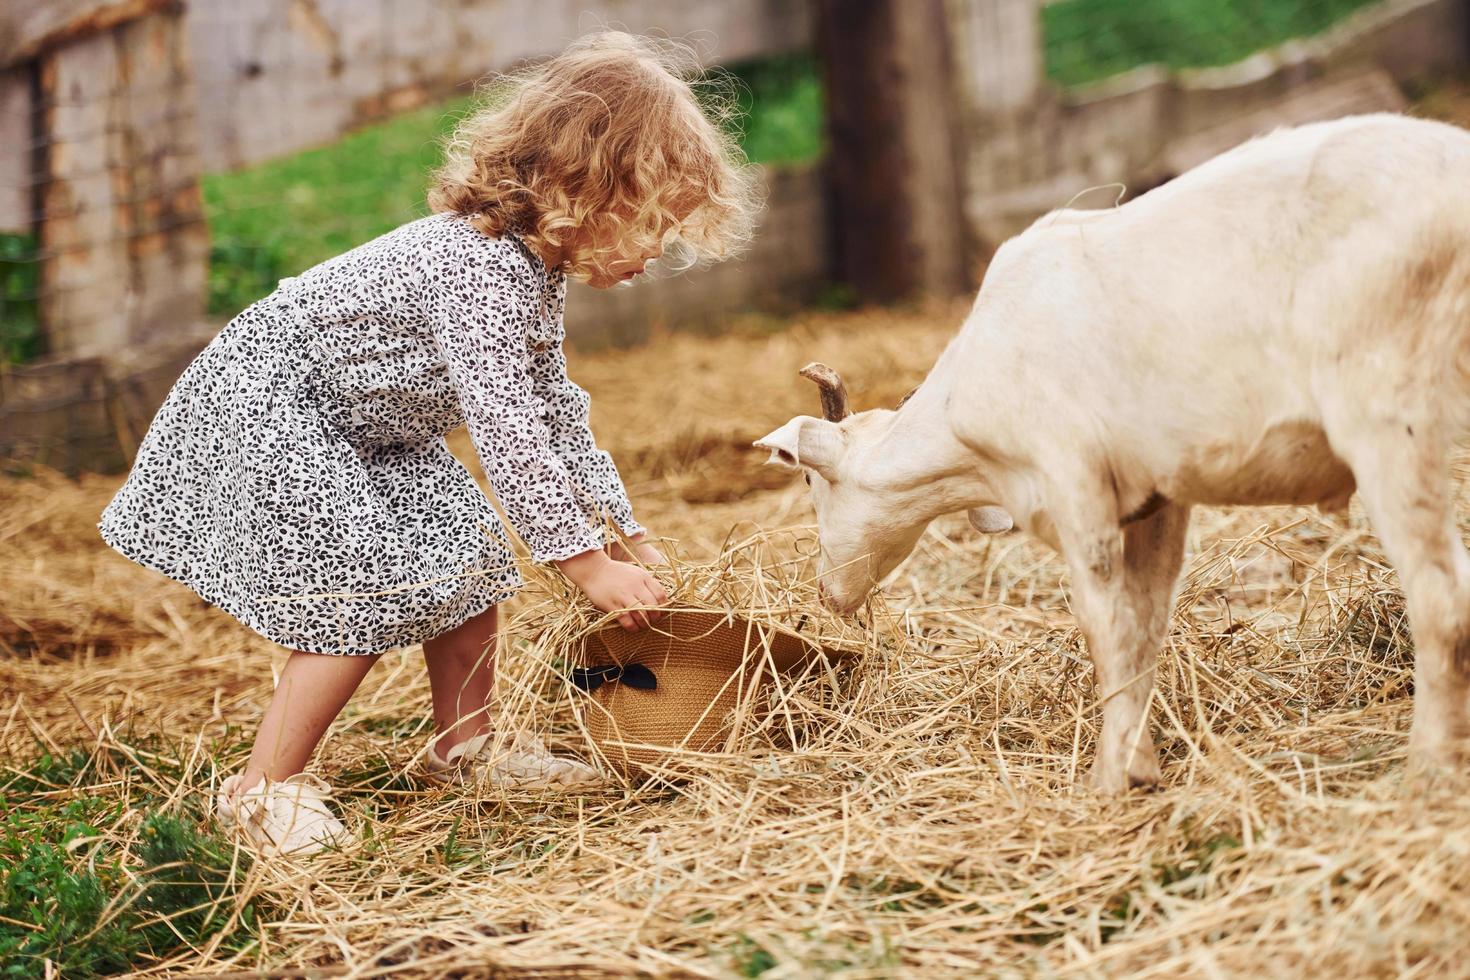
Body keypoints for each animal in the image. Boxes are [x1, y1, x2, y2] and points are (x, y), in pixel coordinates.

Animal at [758, 115, 1470, 787]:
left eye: (810, 484)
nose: (827, 595)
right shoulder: (1158, 497)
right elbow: (1145, 626)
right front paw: (1138, 761)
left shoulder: (1072, 479)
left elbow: (1105, 628)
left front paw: (1114, 777)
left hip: (1386, 407)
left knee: (1442, 601)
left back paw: (1426, 772)